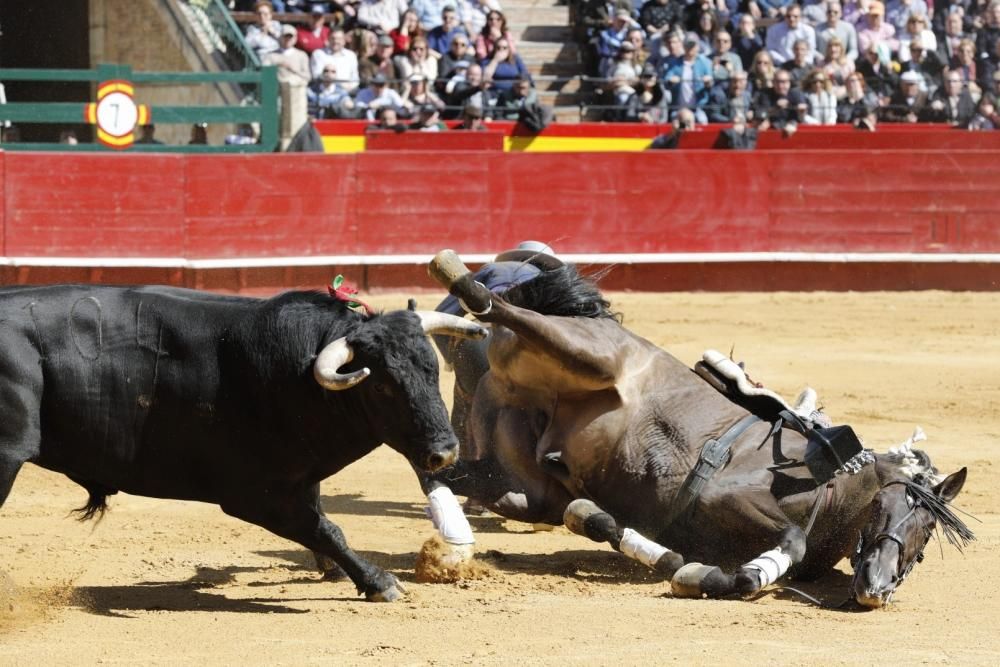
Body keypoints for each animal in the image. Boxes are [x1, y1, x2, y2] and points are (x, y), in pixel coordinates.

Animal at [0, 284, 484, 604]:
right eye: (381, 386)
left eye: (431, 369)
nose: (445, 452)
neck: (296, 373)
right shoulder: (255, 495)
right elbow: (326, 528)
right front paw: (379, 582)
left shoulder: (299, 479)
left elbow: (320, 521)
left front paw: (330, 570)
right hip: (7, 457)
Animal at [418, 252, 972, 604]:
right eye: (893, 508)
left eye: (927, 533)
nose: (876, 590)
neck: (832, 485)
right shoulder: (726, 495)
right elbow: (789, 540)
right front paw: (707, 574)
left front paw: (684, 565)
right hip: (587, 354)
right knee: (504, 308)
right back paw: (460, 281)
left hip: (516, 462)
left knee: (451, 474)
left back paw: (454, 538)